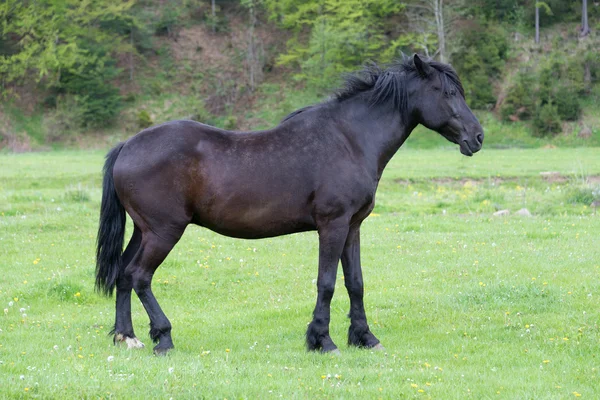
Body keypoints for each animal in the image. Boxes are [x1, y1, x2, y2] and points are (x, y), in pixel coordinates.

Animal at [96, 54, 486, 354]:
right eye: (449, 92)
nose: (478, 137)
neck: (350, 139)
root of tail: (128, 145)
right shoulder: (333, 225)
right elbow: (327, 282)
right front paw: (322, 340)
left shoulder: (353, 227)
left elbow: (355, 282)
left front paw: (364, 337)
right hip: (164, 232)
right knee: (140, 276)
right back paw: (162, 337)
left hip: (144, 231)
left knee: (123, 274)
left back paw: (126, 337)